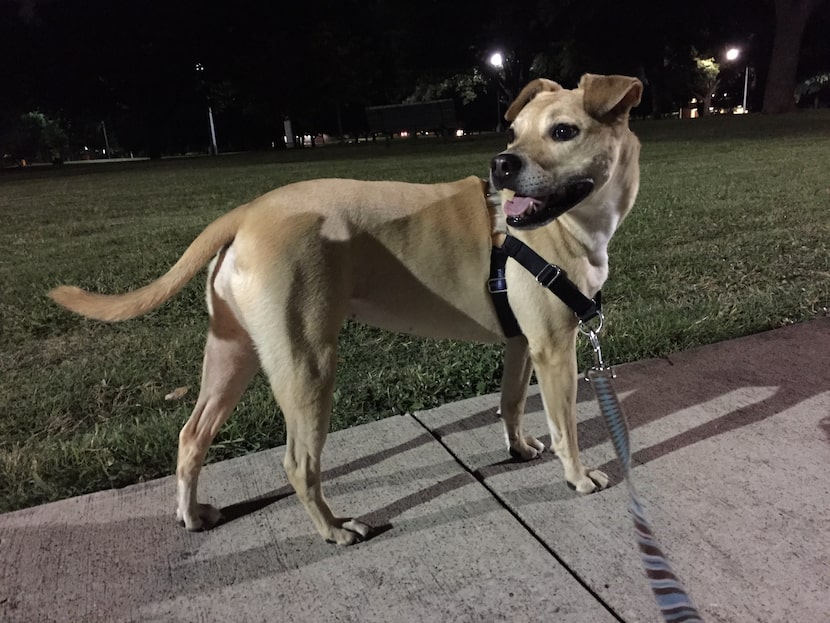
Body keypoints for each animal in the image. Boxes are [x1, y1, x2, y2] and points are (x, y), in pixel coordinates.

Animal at [52, 74, 648, 544]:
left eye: (563, 131)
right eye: (514, 133)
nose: (500, 164)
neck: (573, 224)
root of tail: (246, 211)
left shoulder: (522, 344)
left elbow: (512, 404)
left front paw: (521, 448)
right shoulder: (555, 349)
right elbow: (565, 425)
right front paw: (578, 477)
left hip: (231, 354)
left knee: (191, 436)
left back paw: (193, 516)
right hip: (308, 364)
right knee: (298, 463)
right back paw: (334, 529)